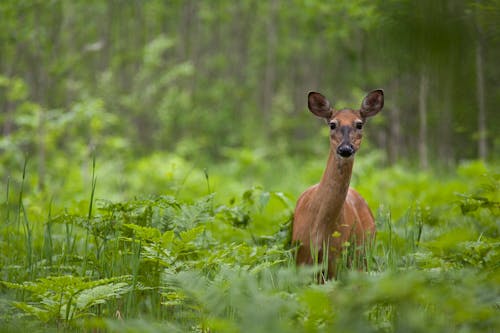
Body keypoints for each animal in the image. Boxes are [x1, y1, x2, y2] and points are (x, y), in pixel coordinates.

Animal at [292, 89, 384, 280]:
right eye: (332, 124)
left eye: (359, 124)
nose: (345, 148)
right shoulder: (301, 259)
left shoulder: (335, 261)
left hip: (362, 257)